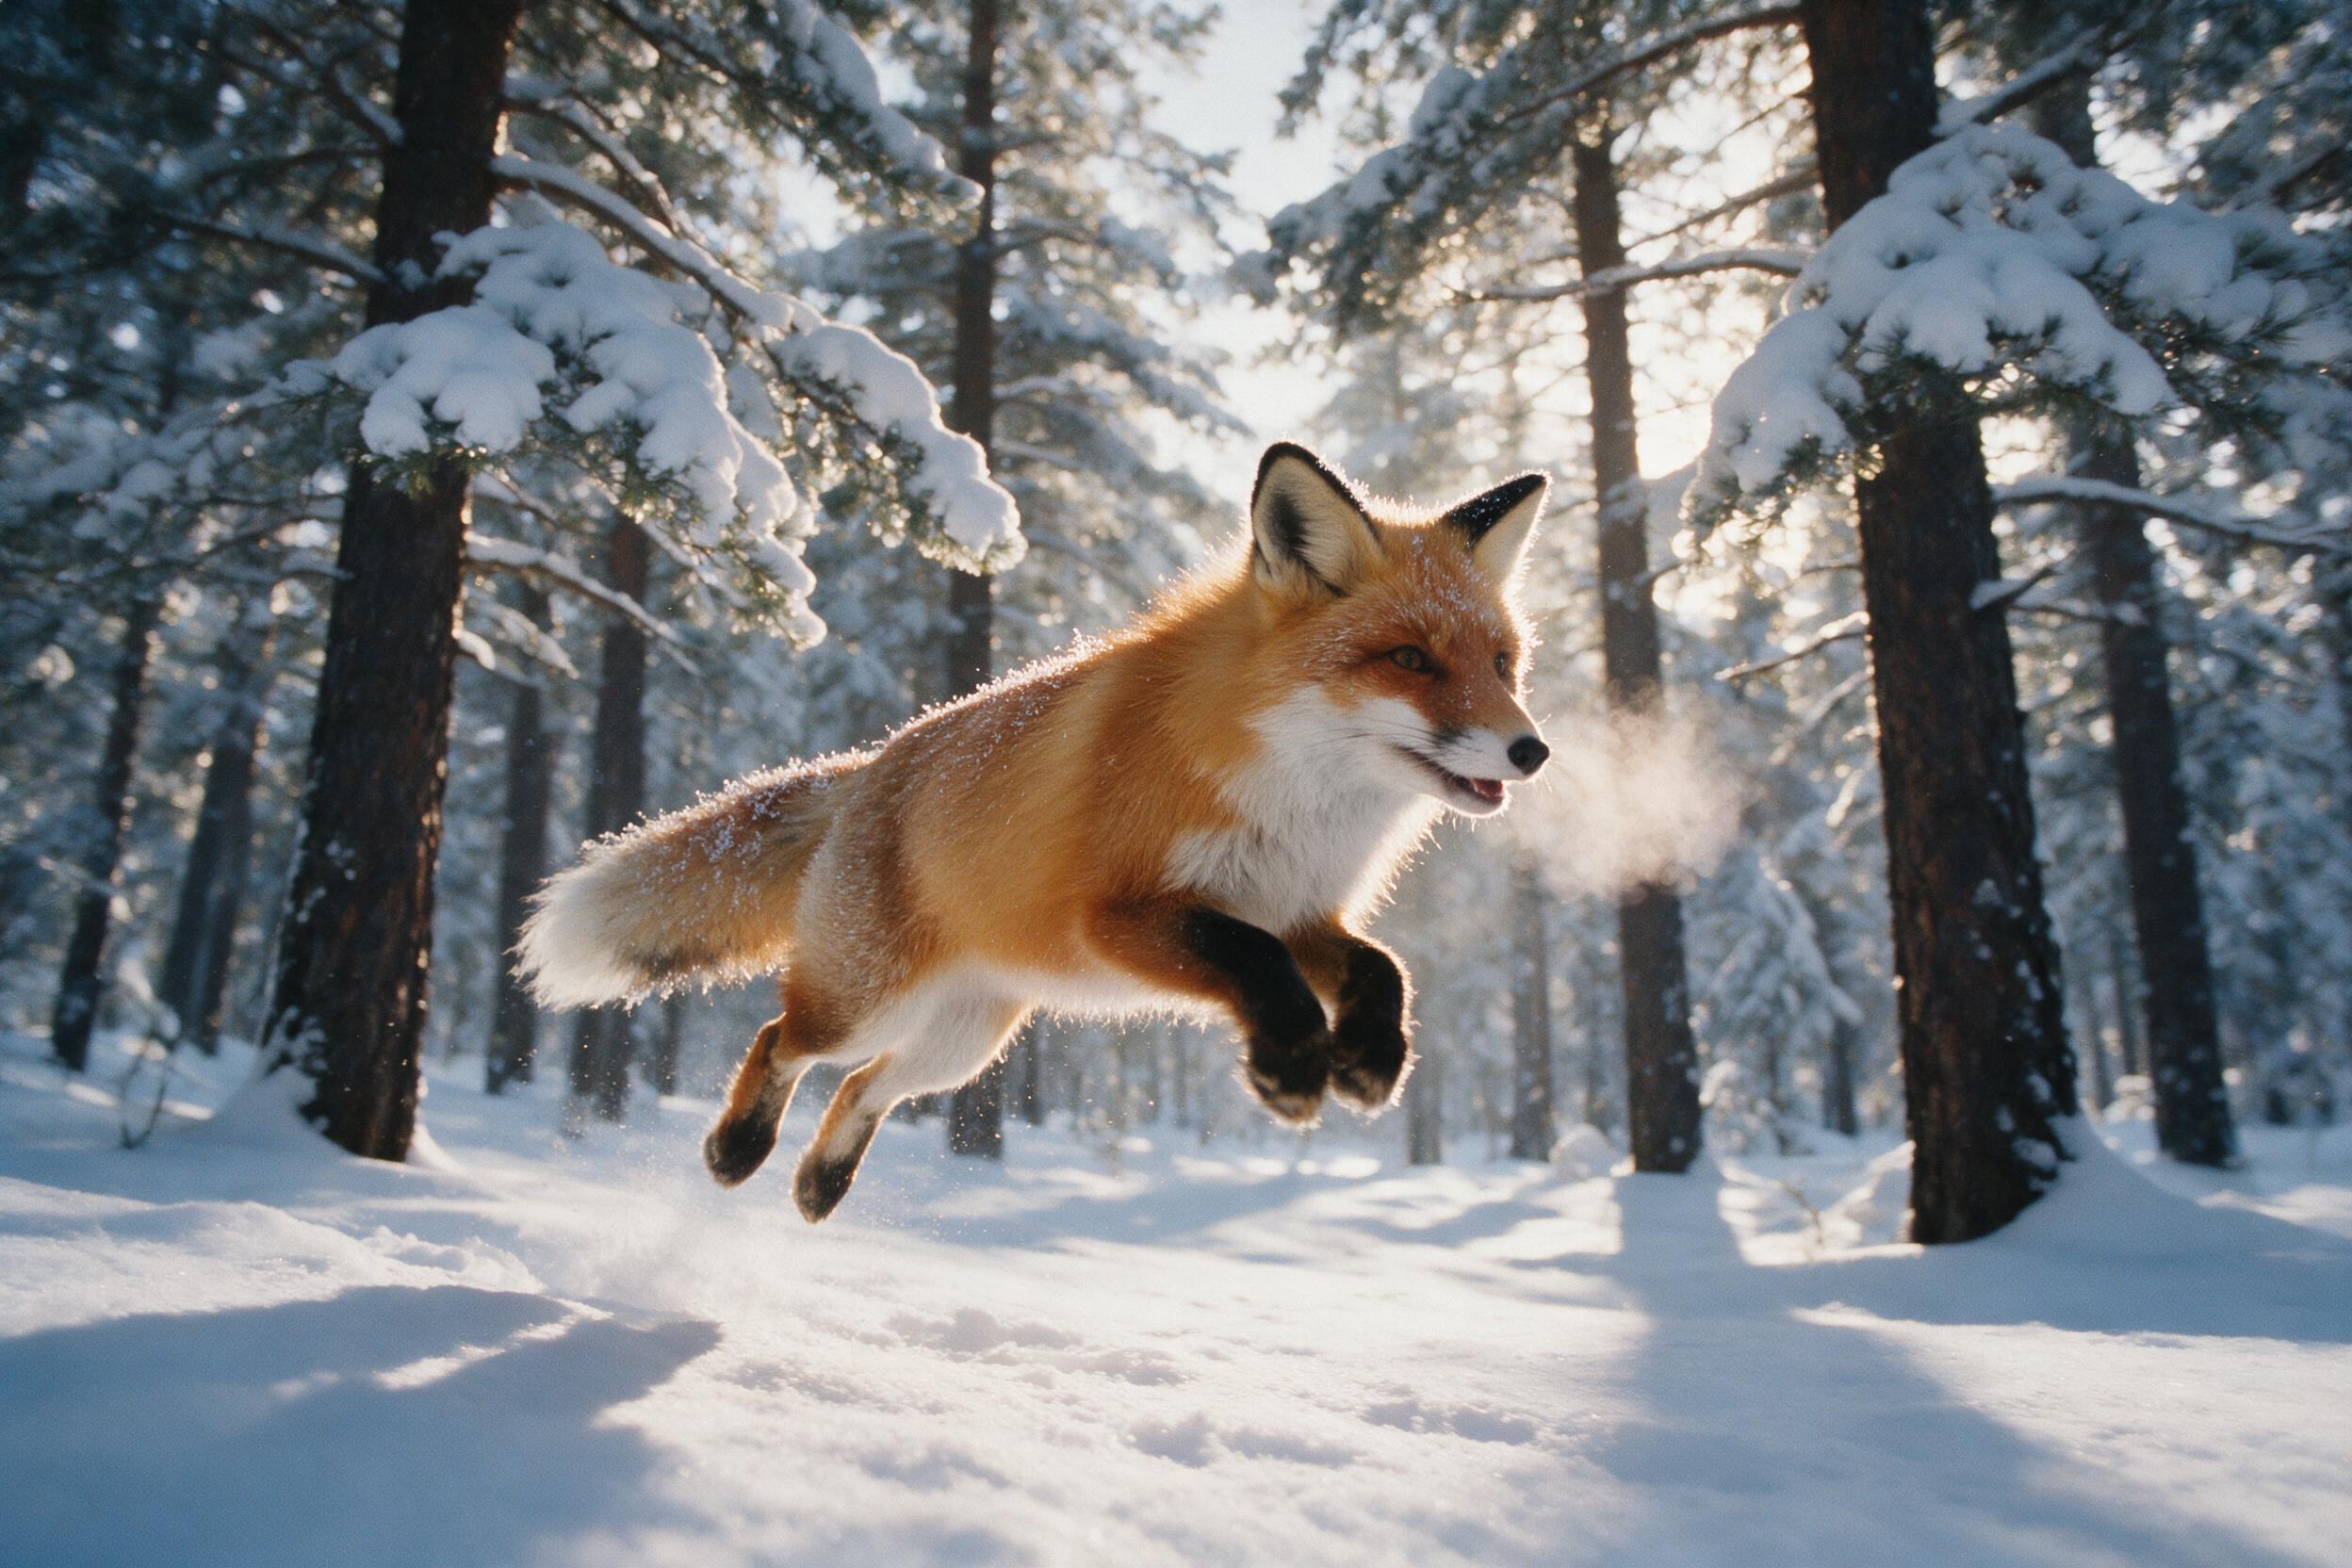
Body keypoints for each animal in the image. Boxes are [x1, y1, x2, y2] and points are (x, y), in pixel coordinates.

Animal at [516, 442, 1551, 1222]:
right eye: (1411, 659)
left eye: (1502, 663)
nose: (1532, 748)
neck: (1289, 796)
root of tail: (874, 761)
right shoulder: (1125, 916)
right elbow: (1254, 959)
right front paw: (1291, 1061)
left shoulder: (1297, 909)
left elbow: (1383, 965)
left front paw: (1371, 1055)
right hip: (867, 1001)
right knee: (781, 1039)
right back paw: (737, 1149)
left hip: (964, 1040)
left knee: (862, 1087)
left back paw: (818, 1182)